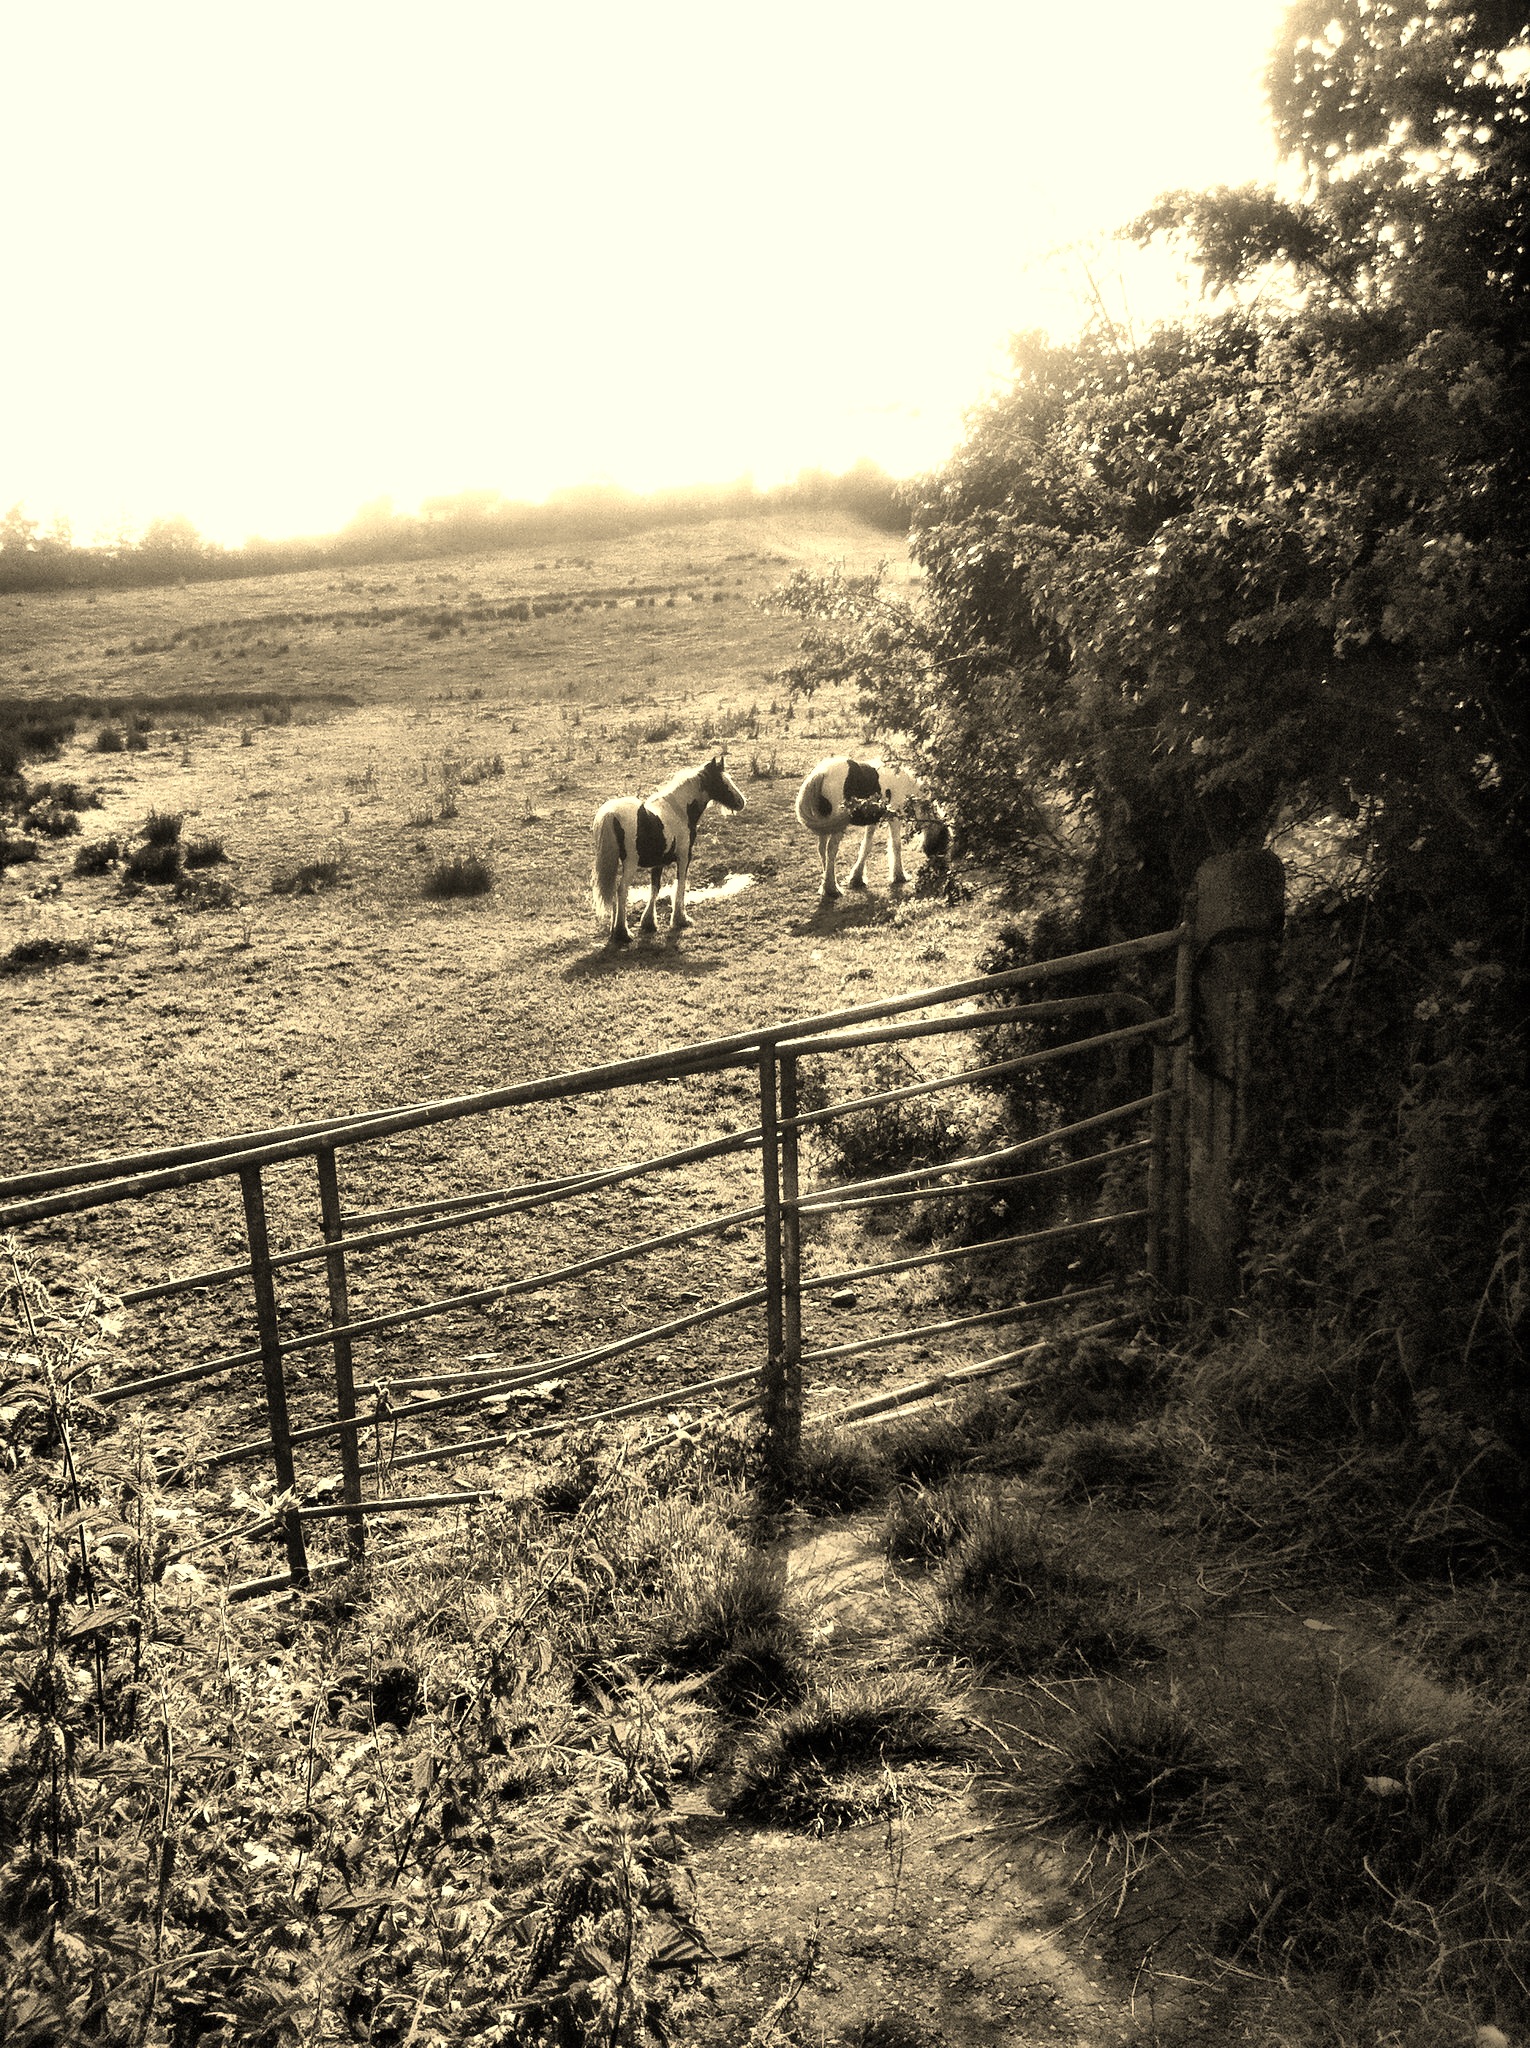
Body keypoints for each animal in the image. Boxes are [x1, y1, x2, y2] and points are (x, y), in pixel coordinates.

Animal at [593, 753, 749, 942]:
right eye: (721, 781)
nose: (741, 802)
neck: (679, 810)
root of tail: (612, 814)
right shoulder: (684, 856)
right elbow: (680, 884)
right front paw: (680, 919)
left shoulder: (658, 863)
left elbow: (655, 888)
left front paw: (649, 923)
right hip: (630, 863)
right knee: (622, 890)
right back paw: (623, 932)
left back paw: (615, 931)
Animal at [794, 757, 950, 901]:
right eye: (945, 838)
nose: (942, 868)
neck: (906, 786)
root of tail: (821, 773)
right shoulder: (895, 818)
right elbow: (896, 845)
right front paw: (899, 875)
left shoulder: (873, 821)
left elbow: (866, 846)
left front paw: (857, 878)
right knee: (830, 850)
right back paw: (833, 889)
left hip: (826, 824)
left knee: (821, 850)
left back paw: (826, 886)